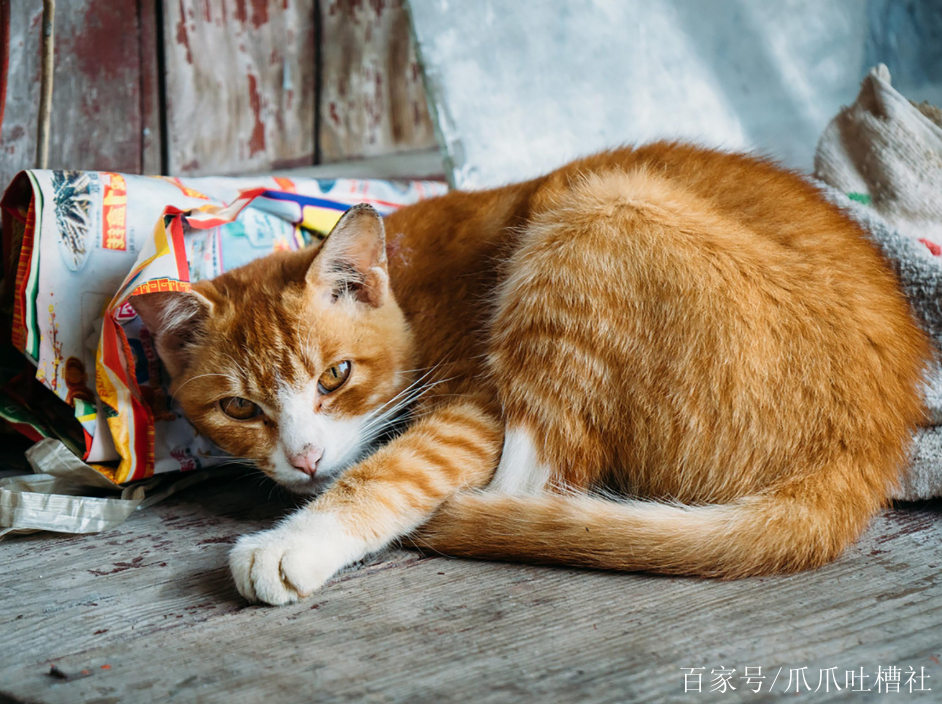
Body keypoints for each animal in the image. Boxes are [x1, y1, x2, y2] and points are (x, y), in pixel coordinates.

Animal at [135, 143, 936, 604]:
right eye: (240, 409)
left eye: (334, 376)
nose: (303, 458)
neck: (409, 282)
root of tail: (870, 442)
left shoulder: (476, 404)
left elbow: (397, 468)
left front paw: (293, 541)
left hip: (599, 207)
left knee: (538, 485)